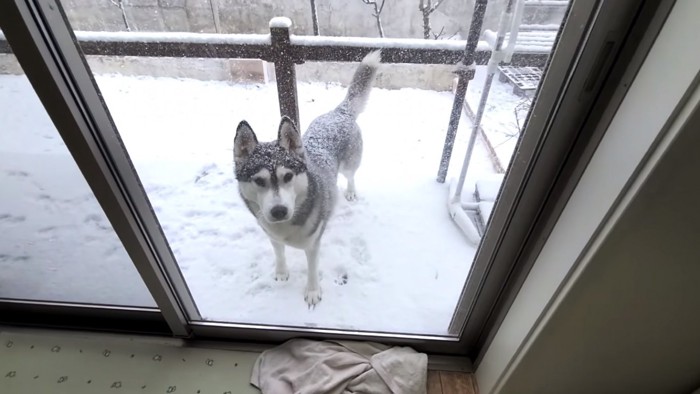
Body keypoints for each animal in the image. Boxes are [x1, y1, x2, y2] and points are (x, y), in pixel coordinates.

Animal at [232, 50, 380, 308]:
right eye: (259, 181)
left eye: (288, 176)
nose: (279, 211)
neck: (285, 227)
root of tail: (339, 112)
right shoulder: (272, 236)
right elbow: (279, 253)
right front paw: (281, 272)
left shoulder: (312, 246)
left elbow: (312, 269)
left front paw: (312, 293)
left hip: (350, 164)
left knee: (350, 176)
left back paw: (350, 192)